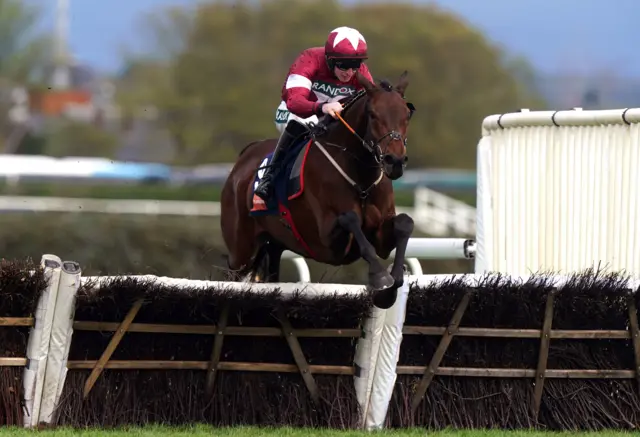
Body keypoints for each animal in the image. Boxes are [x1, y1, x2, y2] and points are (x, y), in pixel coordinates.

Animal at [221, 70, 416, 308]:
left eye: (407, 114)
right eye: (372, 114)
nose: (394, 161)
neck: (361, 178)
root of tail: (243, 159)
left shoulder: (380, 235)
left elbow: (405, 223)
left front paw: (392, 285)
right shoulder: (327, 240)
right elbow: (350, 218)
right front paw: (380, 277)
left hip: (273, 244)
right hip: (240, 251)